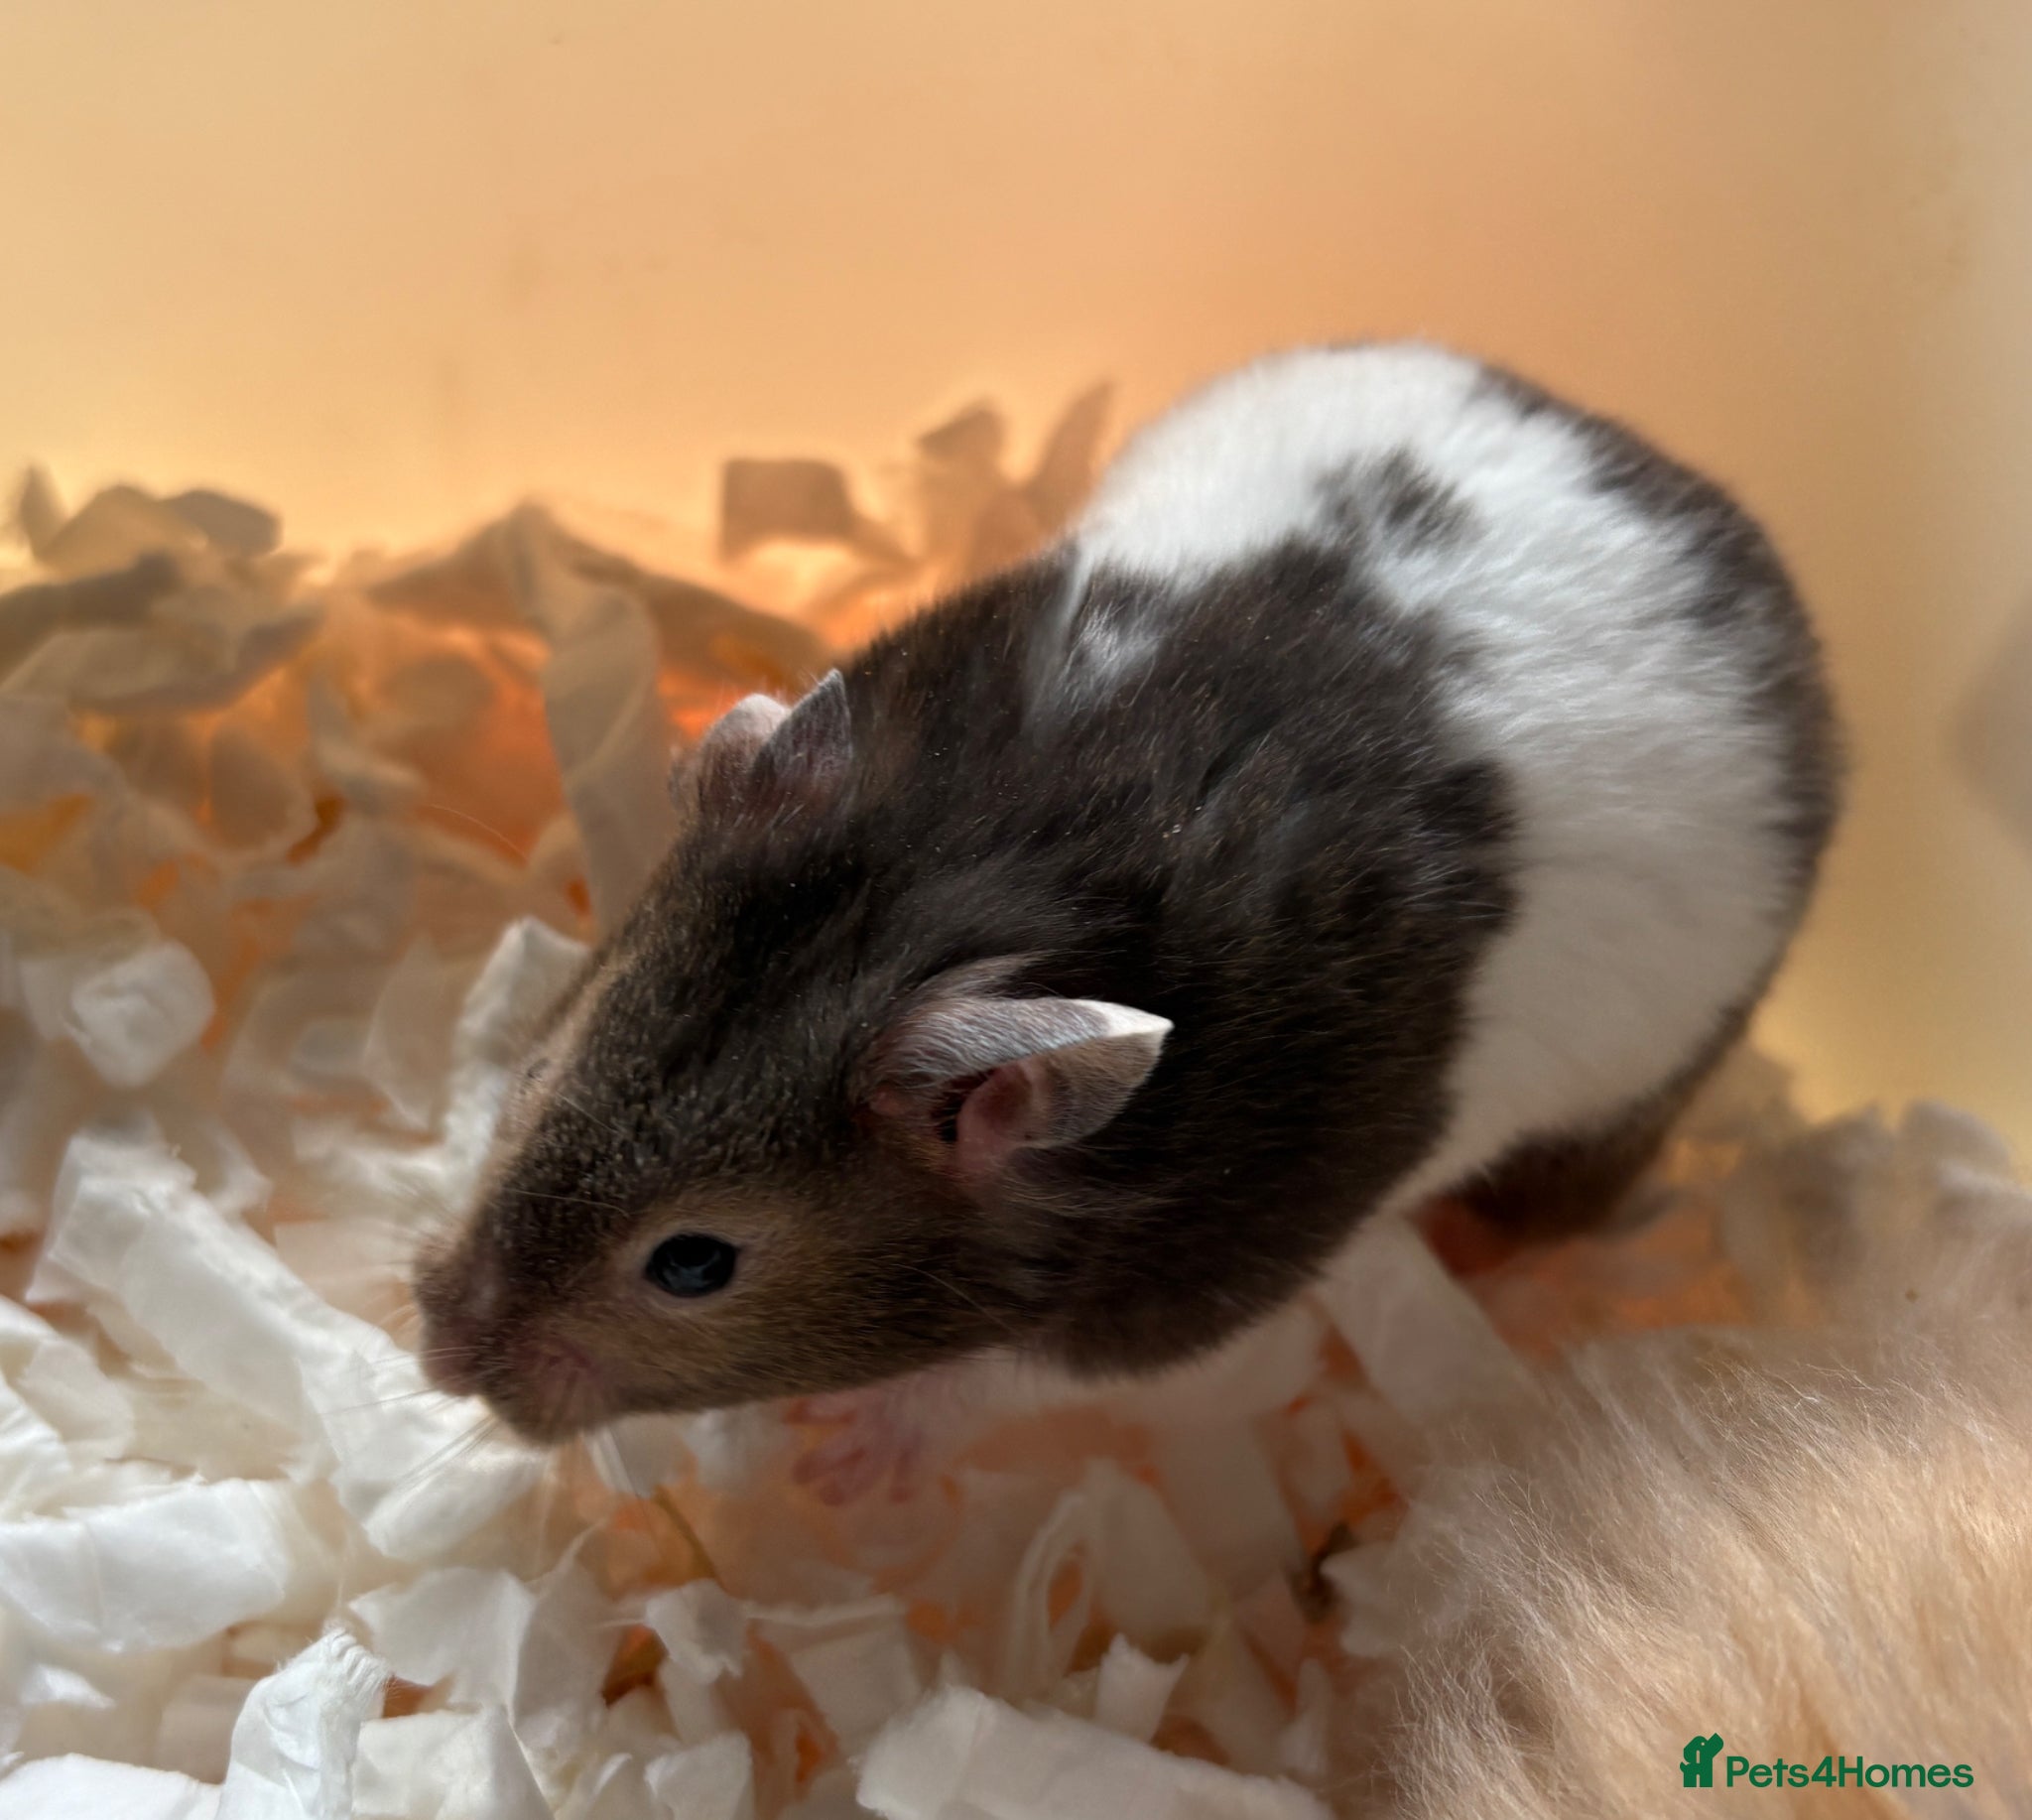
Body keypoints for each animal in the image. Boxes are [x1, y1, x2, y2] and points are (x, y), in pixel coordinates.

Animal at [413, 342, 1841, 1445]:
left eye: (693, 1264)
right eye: (535, 1078)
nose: (437, 1353)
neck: (972, 893)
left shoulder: (1196, 1292)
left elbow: (1008, 1382)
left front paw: (843, 1452)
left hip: (1635, 1094)